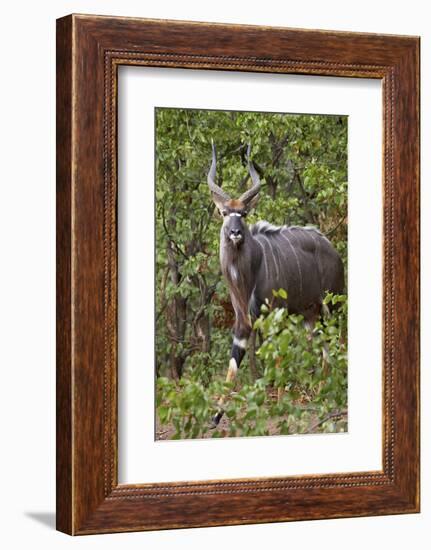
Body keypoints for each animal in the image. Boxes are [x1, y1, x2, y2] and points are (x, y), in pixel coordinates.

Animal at [208, 144, 346, 430]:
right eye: (225, 213)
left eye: (244, 213)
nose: (236, 233)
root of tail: (331, 248)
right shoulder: (243, 321)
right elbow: (234, 362)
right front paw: (214, 417)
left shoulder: (276, 314)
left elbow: (277, 356)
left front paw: (280, 403)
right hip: (310, 313)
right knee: (322, 344)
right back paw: (322, 390)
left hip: (333, 302)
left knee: (337, 339)